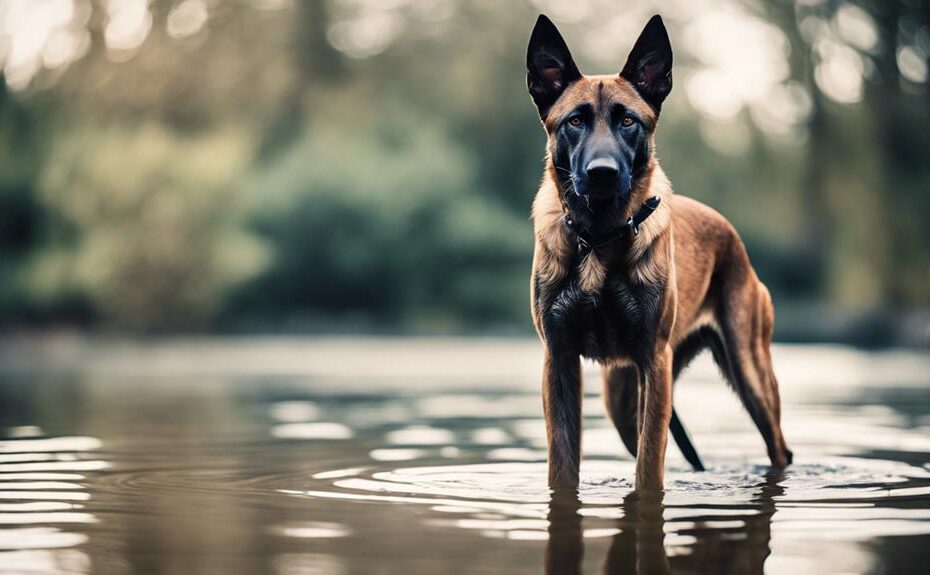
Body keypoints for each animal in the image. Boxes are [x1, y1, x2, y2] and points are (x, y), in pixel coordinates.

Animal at [524, 14, 792, 490]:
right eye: (574, 122)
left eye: (628, 121)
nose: (602, 173)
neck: (600, 237)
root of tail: (734, 238)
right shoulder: (559, 361)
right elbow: (563, 466)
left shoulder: (654, 360)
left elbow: (650, 467)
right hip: (621, 397)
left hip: (751, 375)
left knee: (778, 449)